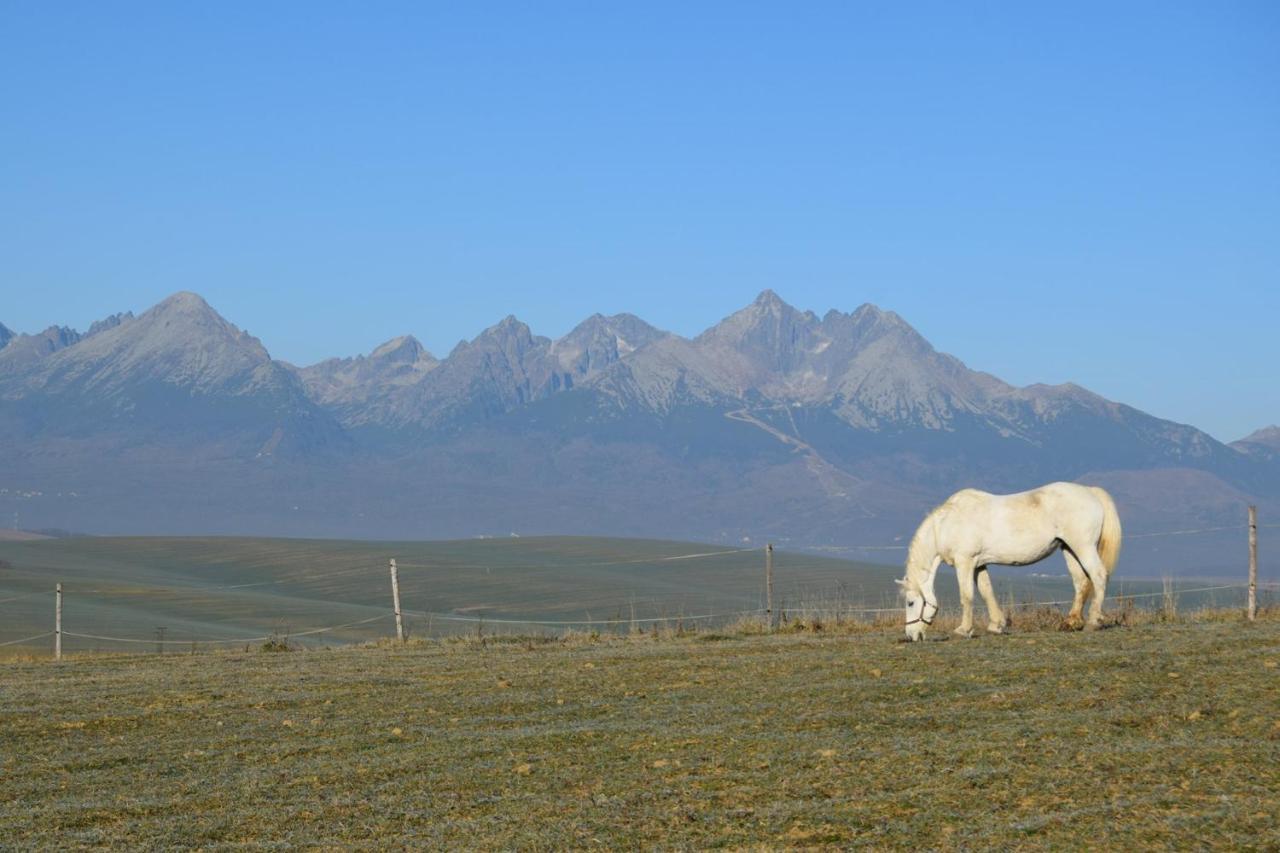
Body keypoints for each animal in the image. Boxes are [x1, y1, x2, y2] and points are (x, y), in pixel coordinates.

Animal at [901, 481, 1121, 640]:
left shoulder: (965, 562)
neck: (946, 525)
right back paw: (1071, 622)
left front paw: (964, 630)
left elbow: (967, 596)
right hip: (1069, 549)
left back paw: (1093, 621)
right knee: (1081, 582)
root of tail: (1090, 491)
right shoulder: (979, 564)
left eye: (911, 603)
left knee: (1098, 575)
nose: (912, 635)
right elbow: (986, 592)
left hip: (1083, 547)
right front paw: (996, 625)